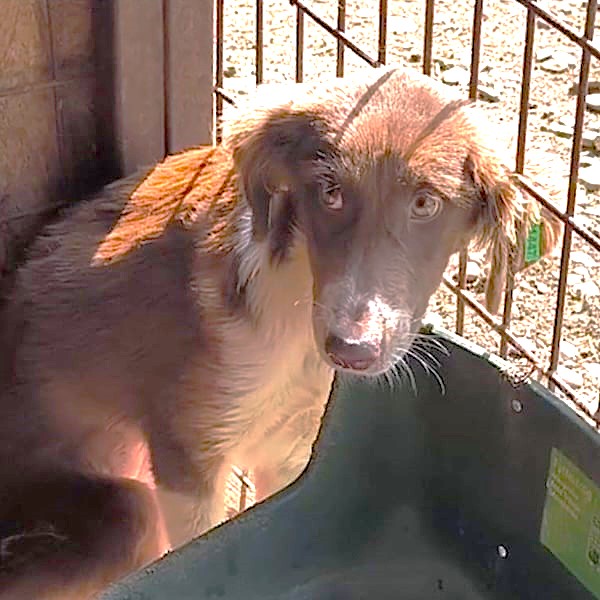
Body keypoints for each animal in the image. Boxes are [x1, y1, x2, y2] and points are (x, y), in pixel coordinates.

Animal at [0, 67, 558, 598]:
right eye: (330, 194)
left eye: (425, 204)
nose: (350, 350)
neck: (295, 332)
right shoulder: (187, 455)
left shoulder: (291, 450)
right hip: (126, 510)